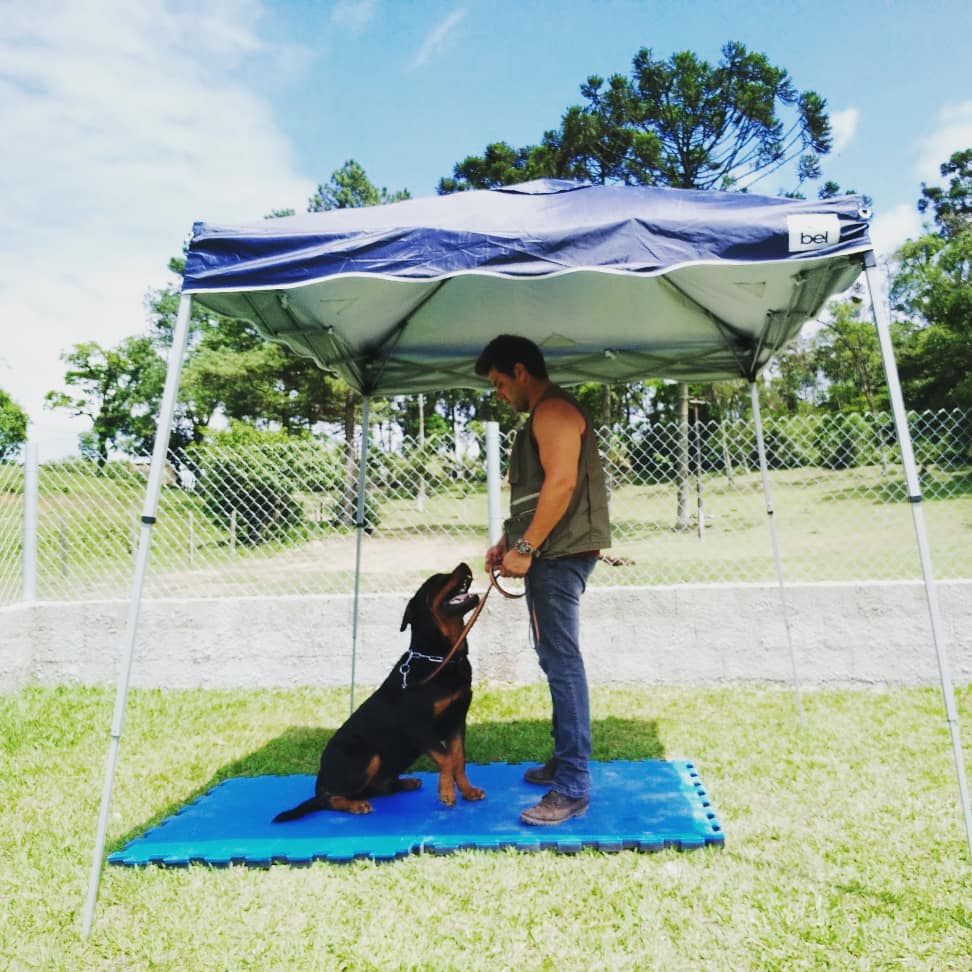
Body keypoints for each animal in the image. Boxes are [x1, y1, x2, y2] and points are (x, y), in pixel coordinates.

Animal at [274, 560, 486, 820]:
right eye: (437, 579)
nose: (464, 564)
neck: (442, 657)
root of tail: (320, 783)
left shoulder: (457, 720)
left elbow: (459, 760)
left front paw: (467, 790)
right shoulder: (419, 725)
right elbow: (446, 759)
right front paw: (446, 793)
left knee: (373, 789)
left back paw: (405, 783)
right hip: (365, 756)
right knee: (329, 799)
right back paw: (355, 805)